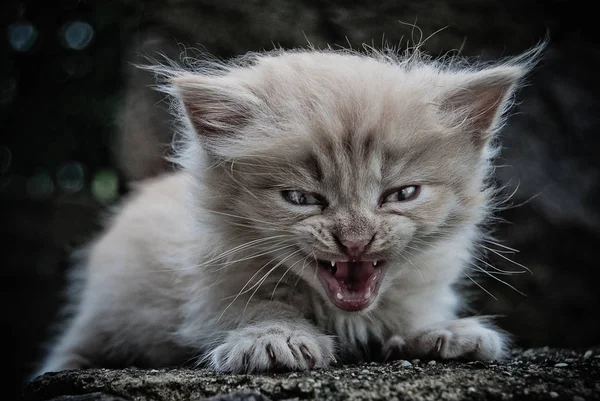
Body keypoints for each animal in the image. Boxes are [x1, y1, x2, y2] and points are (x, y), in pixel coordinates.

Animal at [37, 44, 544, 376]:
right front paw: (274, 338)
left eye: (402, 195)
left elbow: (407, 311)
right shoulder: (210, 283)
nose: (356, 239)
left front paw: (444, 332)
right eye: (302, 199)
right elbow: (255, 306)